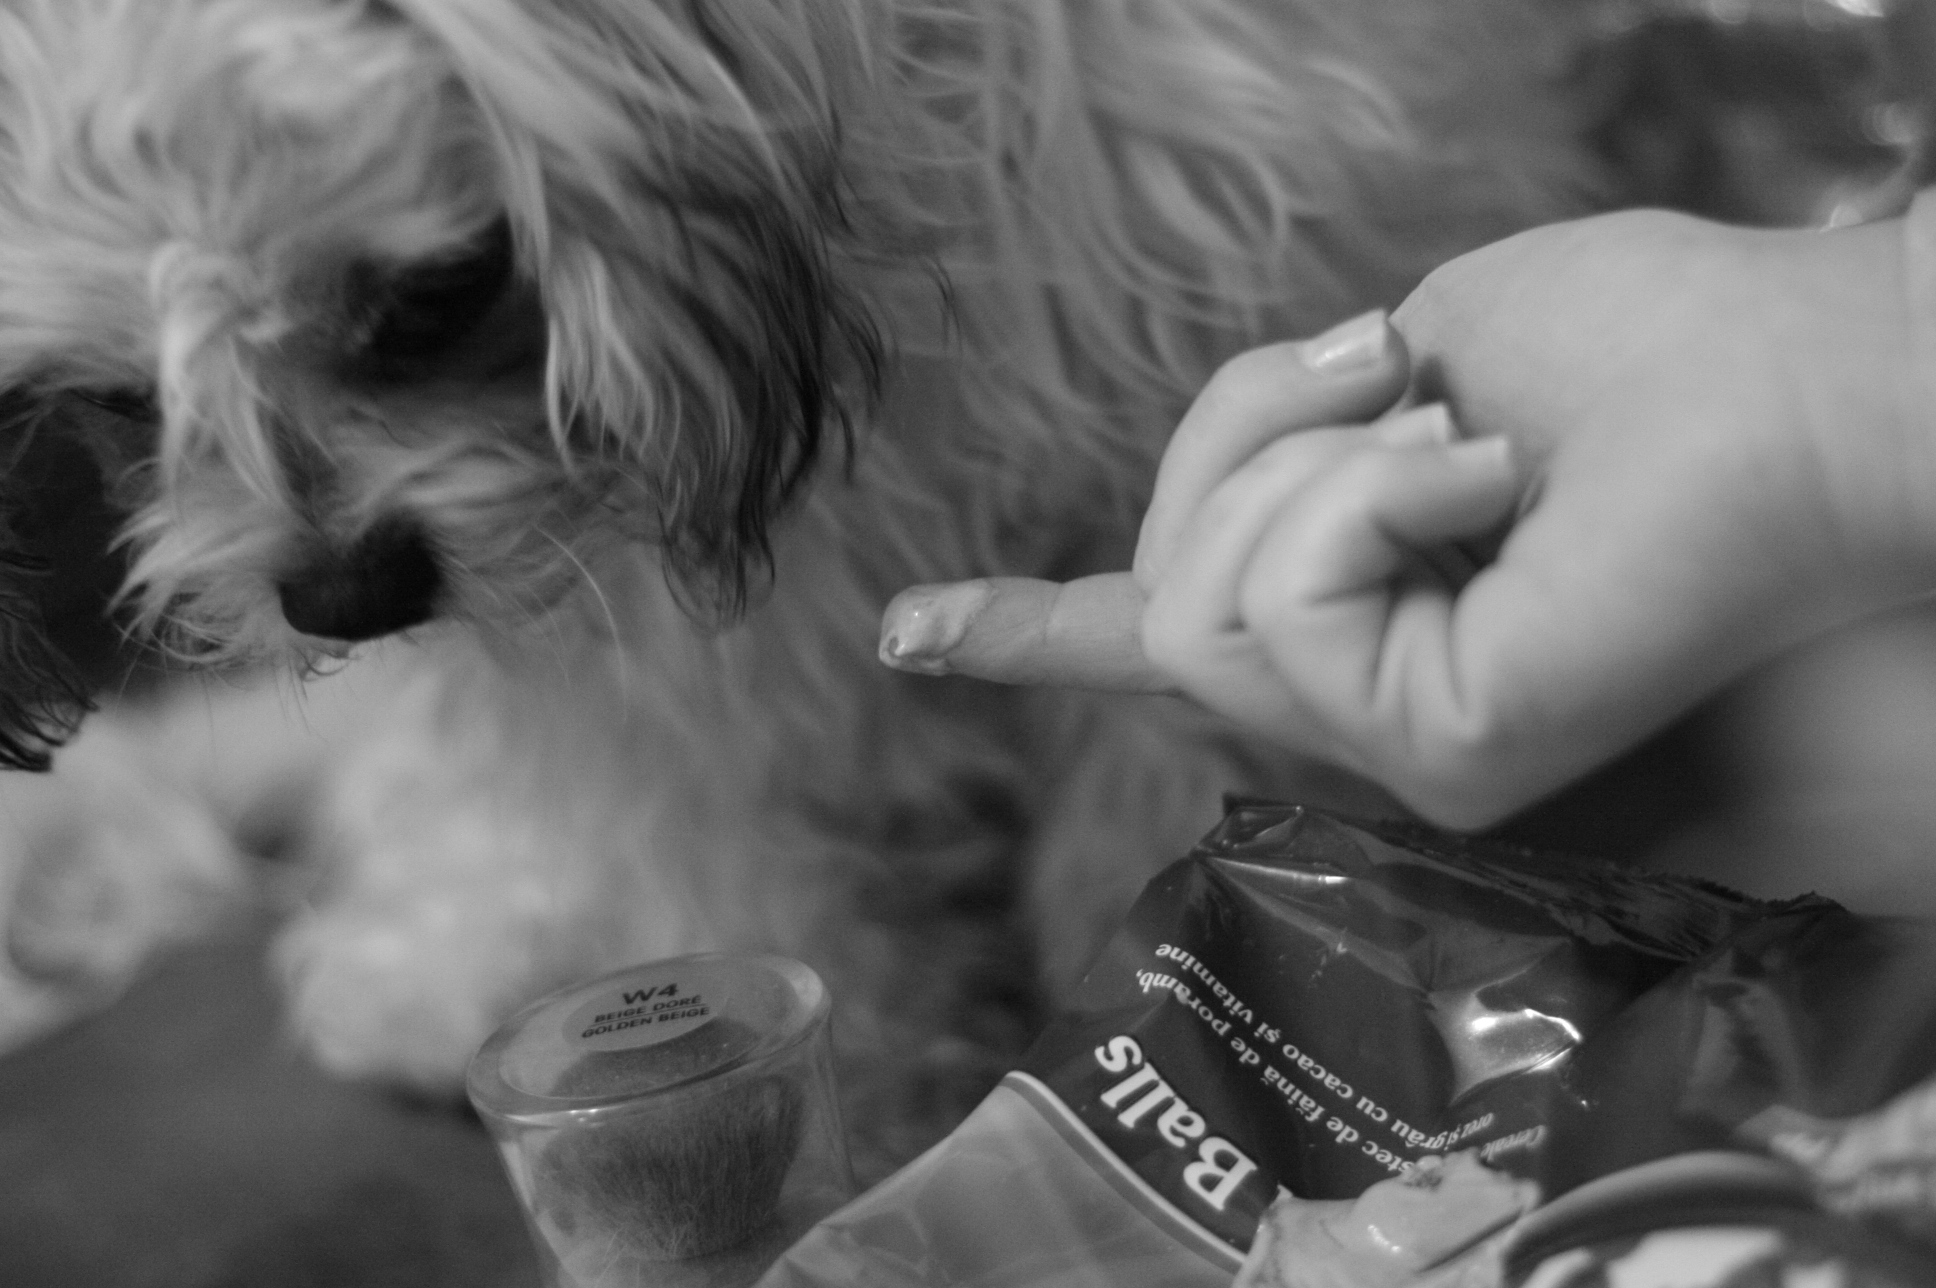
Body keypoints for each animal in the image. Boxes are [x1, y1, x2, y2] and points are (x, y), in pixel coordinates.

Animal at [0, 0, 1610, 1169]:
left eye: (429, 297)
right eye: (122, 395)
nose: (342, 596)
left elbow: (1158, 768)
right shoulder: (669, 655)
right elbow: (742, 867)